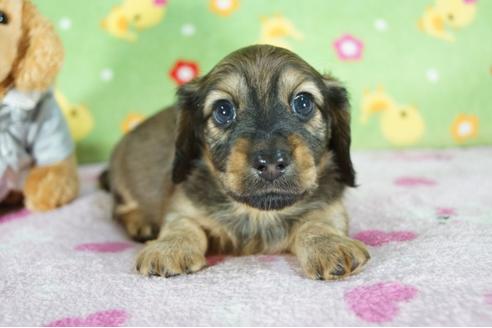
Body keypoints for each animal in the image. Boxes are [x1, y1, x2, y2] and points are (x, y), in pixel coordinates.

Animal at [106, 44, 368, 280]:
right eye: (223, 110)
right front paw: (169, 247)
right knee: (119, 209)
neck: (258, 214)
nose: (270, 162)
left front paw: (330, 244)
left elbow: (317, 224)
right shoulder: (182, 207)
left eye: (303, 103)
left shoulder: (330, 209)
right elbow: (183, 225)